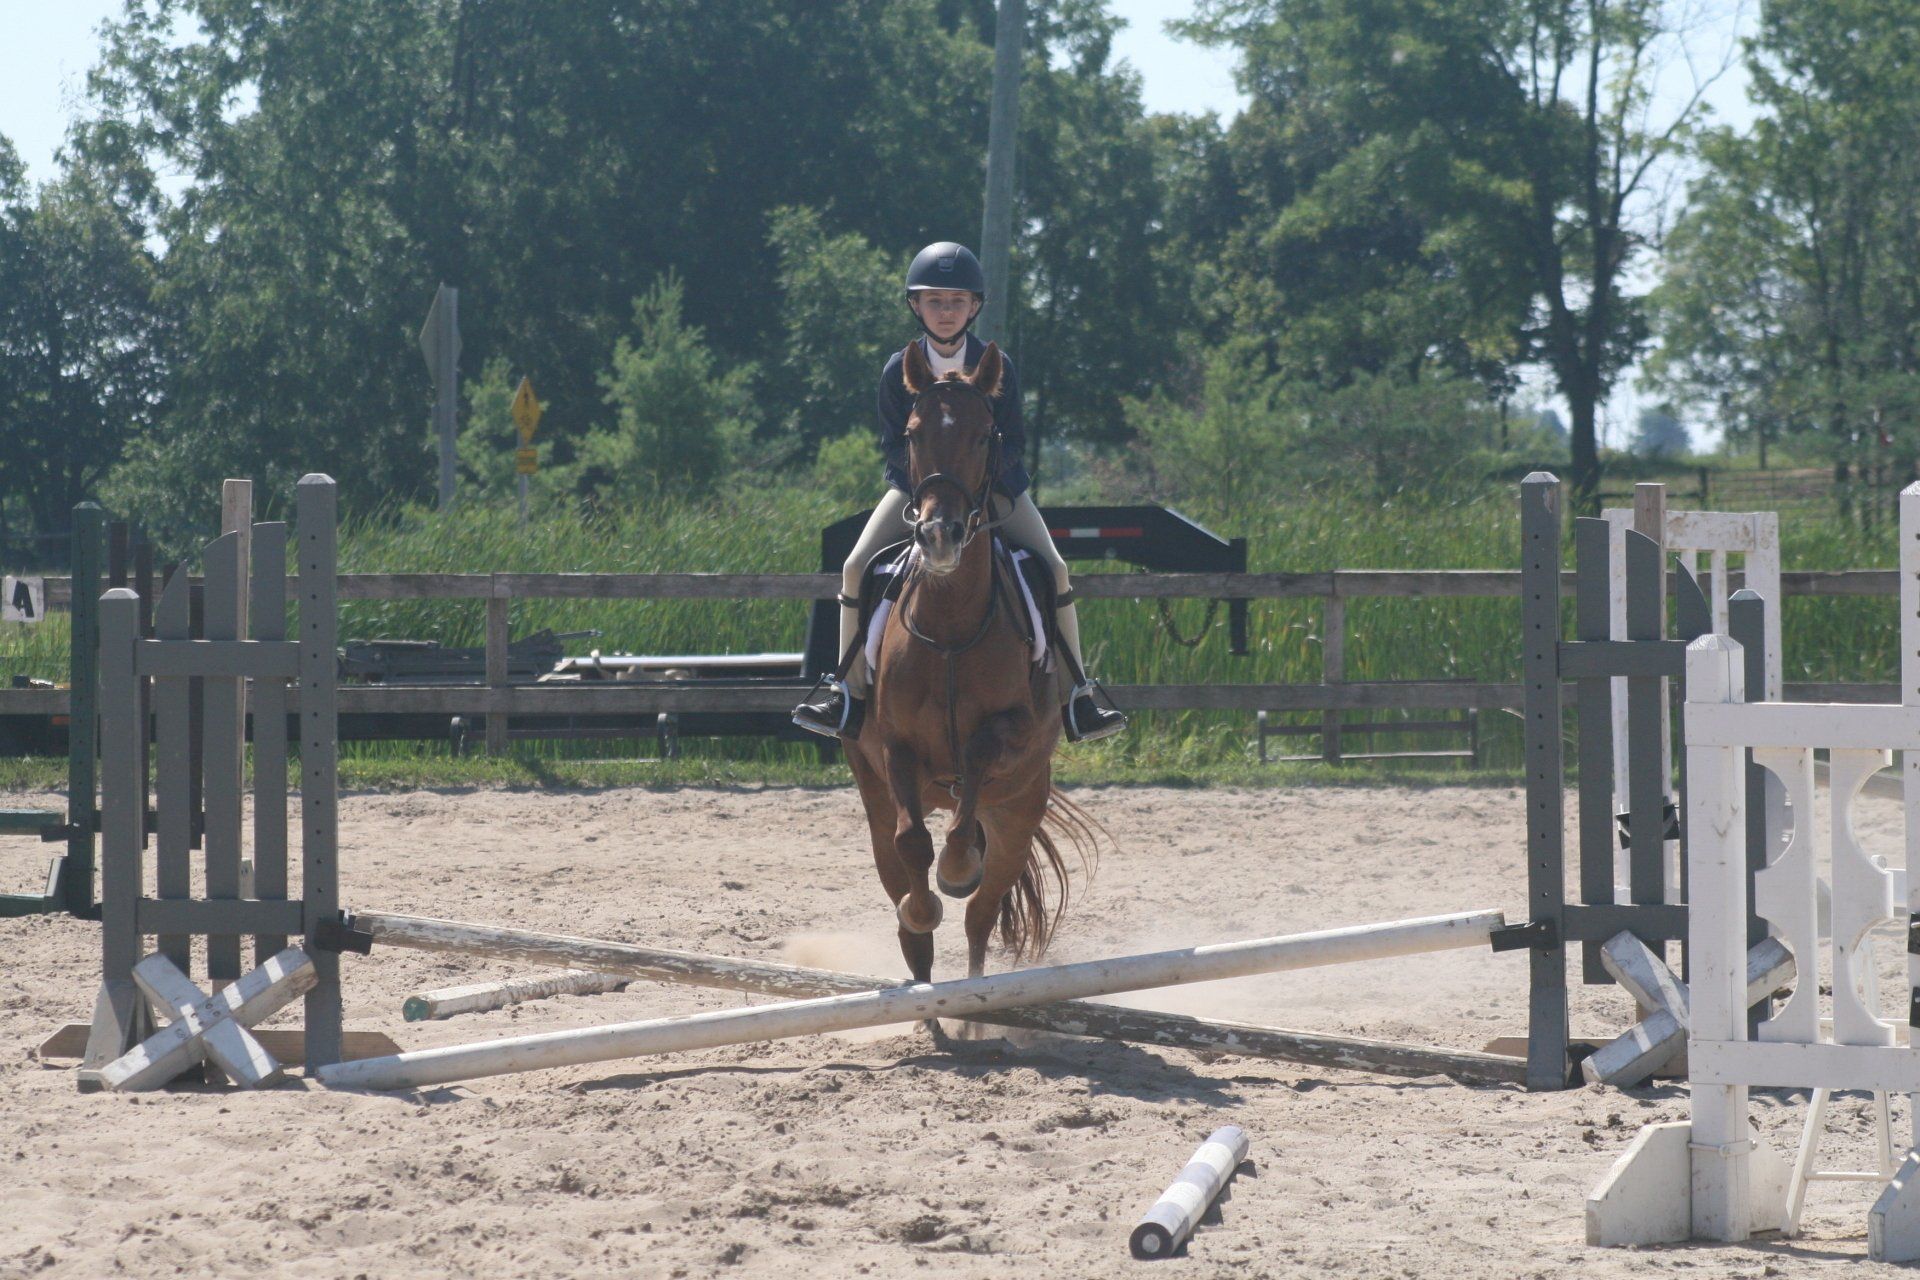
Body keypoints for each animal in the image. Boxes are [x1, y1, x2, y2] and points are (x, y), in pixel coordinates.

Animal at [843, 339, 1099, 1036]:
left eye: (986, 434)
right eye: (912, 433)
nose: (939, 536)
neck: (952, 624)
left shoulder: (1014, 735)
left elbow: (977, 765)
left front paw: (957, 871)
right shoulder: (894, 750)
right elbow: (912, 846)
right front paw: (923, 909)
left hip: (1018, 812)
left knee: (983, 916)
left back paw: (972, 1016)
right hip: (875, 801)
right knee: (901, 872)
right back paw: (927, 1005)